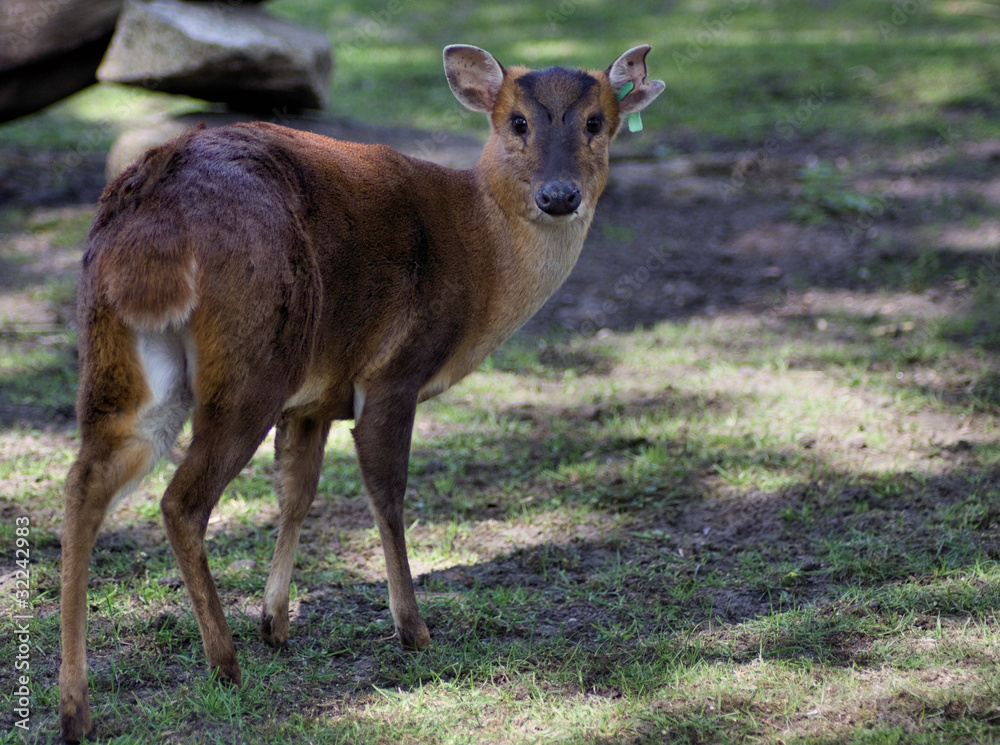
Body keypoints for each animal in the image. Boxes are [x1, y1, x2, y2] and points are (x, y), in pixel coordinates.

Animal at [58, 45, 660, 740]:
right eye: (517, 121)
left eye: (595, 122)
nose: (559, 195)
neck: (483, 255)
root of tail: (150, 222)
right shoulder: (394, 370)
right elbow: (387, 493)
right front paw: (413, 629)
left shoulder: (314, 397)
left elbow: (297, 493)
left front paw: (276, 622)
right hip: (253, 364)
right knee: (181, 500)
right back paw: (223, 663)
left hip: (123, 361)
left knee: (84, 483)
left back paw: (76, 708)